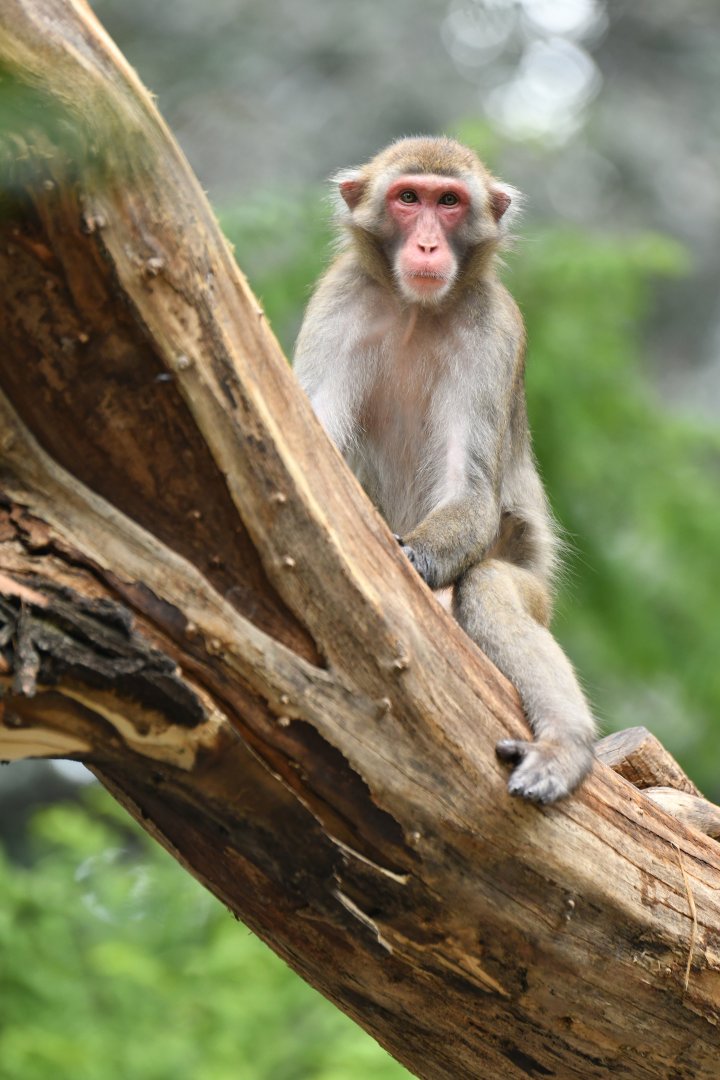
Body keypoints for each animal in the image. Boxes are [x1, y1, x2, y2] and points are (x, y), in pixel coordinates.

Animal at [293, 136, 595, 803]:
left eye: (449, 203)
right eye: (409, 198)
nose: (429, 245)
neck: (414, 309)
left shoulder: (492, 330)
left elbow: (473, 491)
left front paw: (412, 558)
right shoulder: (338, 301)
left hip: (536, 595)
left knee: (487, 588)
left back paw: (565, 746)